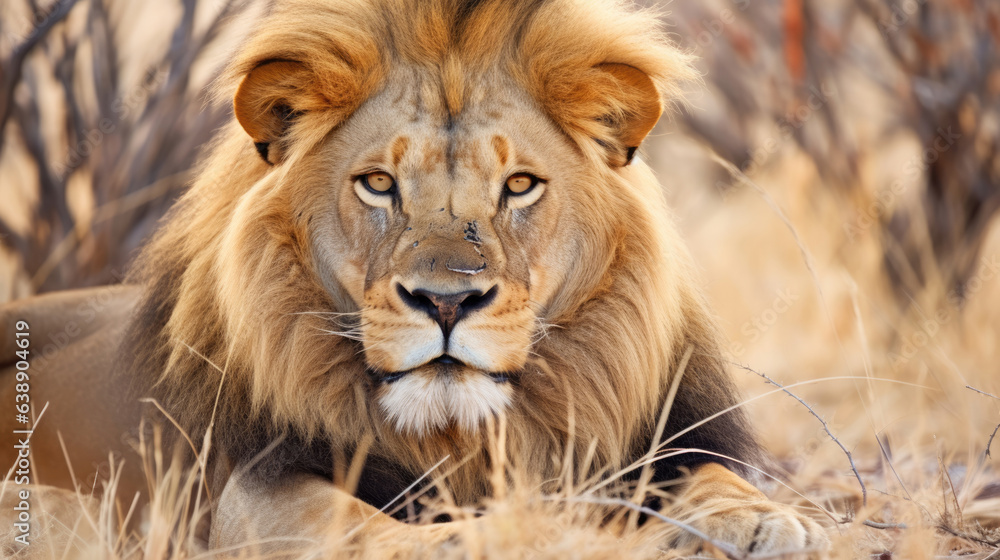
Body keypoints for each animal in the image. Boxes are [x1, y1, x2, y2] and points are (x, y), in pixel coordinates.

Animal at [1, 0, 830, 556]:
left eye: (519, 186)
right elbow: (350, 522)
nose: (447, 300)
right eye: (378, 185)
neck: (464, 437)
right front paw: (469, 537)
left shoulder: (657, 444)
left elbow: (711, 479)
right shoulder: (251, 483)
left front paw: (765, 521)